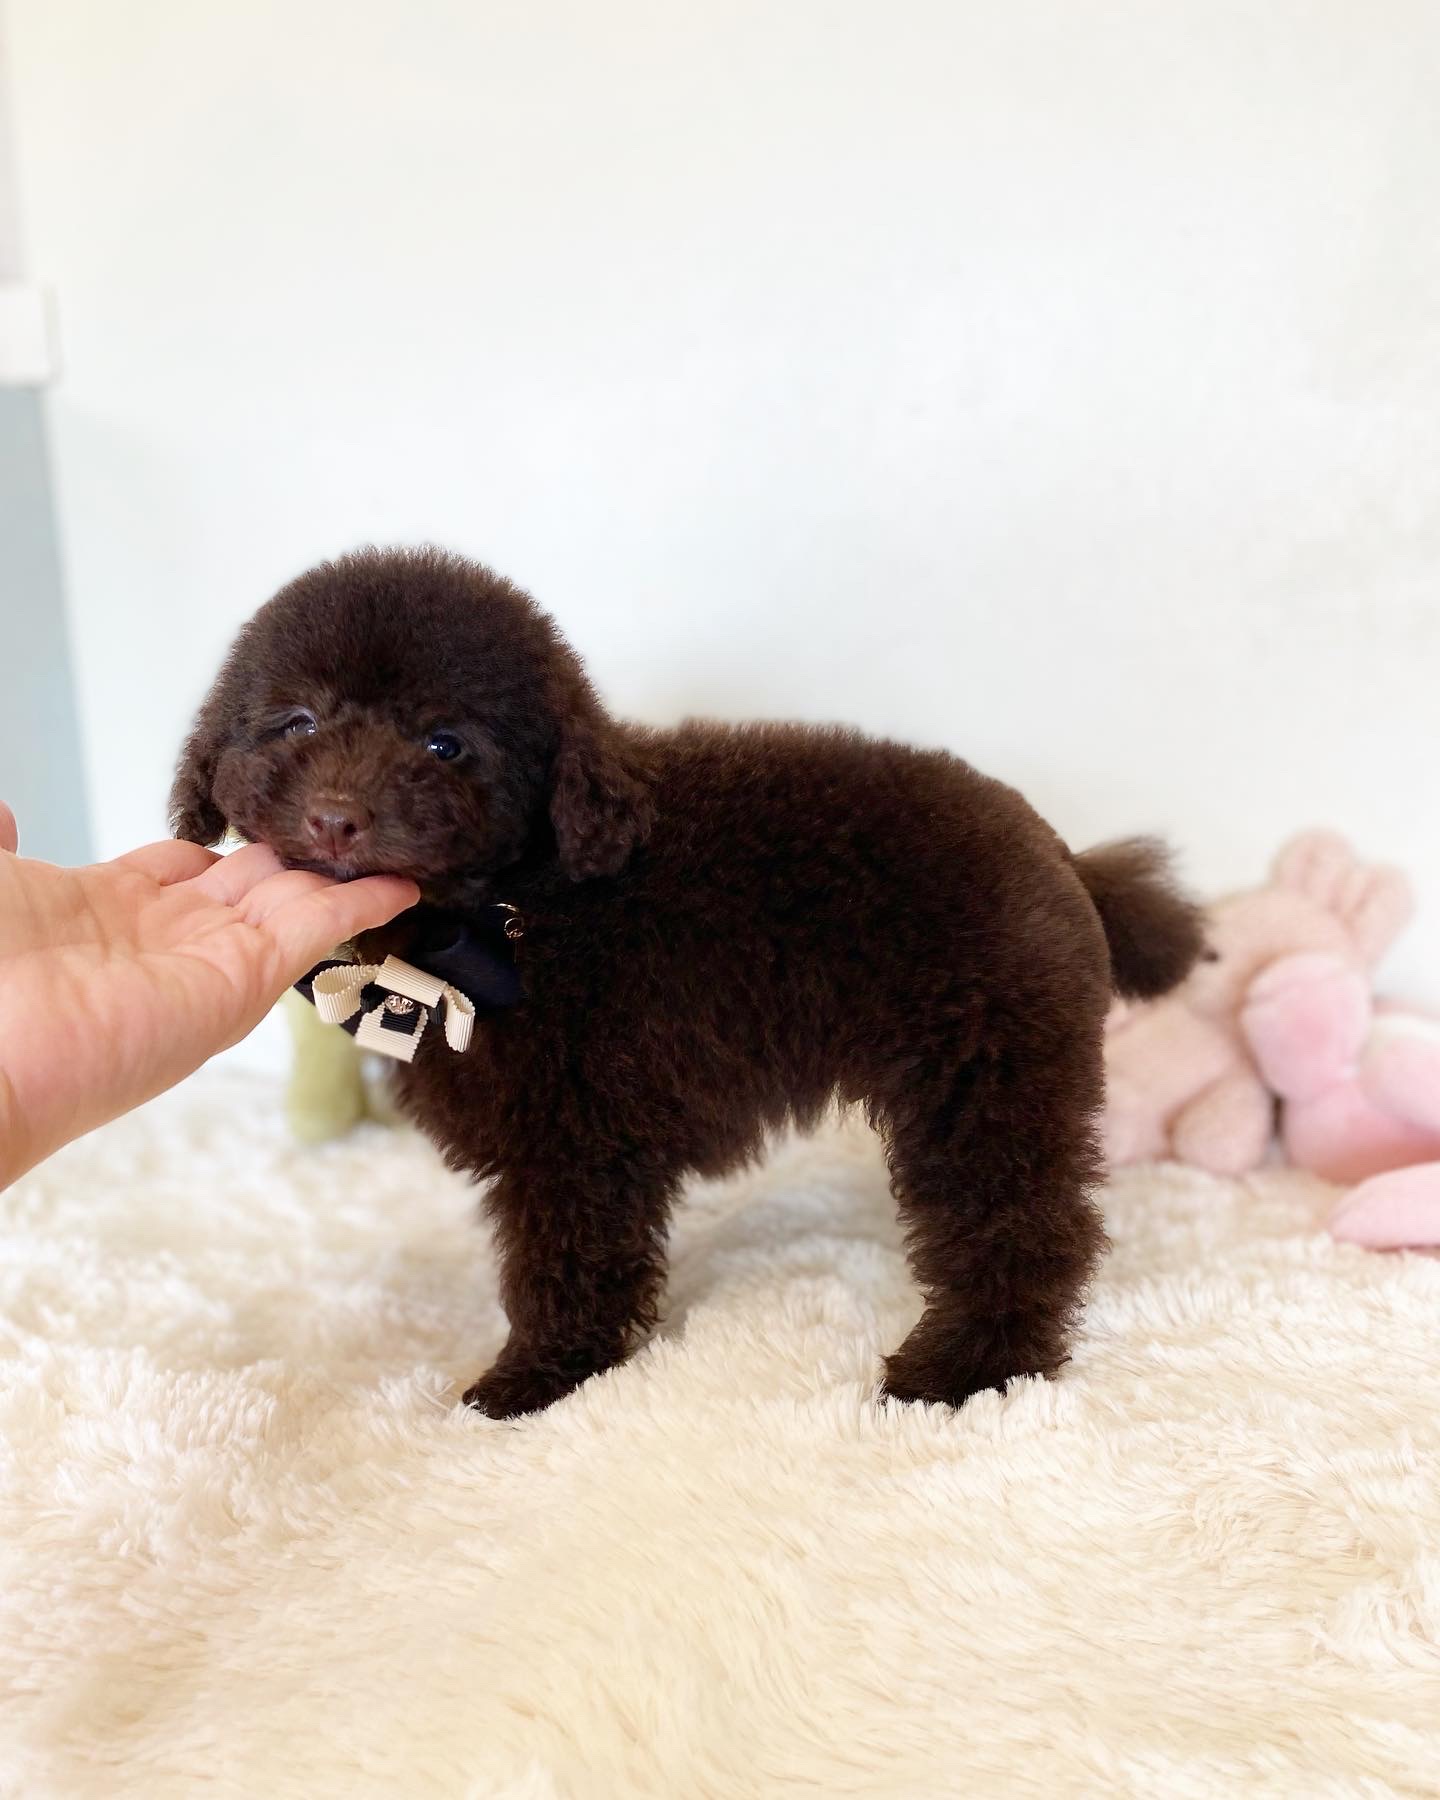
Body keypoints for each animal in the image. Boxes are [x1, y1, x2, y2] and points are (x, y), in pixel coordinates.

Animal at [172, 546, 1203, 1417]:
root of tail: (1058, 850)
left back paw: (961, 1374)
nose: (338, 818)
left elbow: (568, 1266)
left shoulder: (575, 1138)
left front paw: (533, 1383)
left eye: (445, 745)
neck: (509, 905)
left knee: (1019, 1228)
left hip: (986, 1067)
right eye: (299, 722)